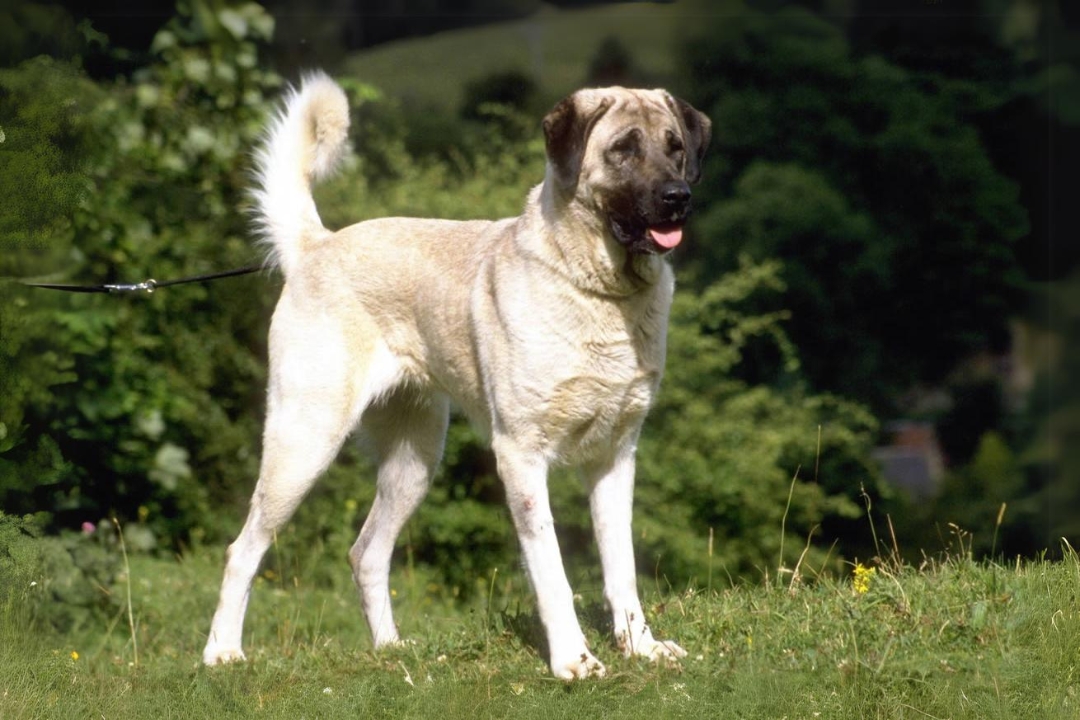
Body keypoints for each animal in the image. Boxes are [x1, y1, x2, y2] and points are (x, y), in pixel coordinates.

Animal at [203, 73, 712, 682]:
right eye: (624, 149)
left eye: (675, 147)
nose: (678, 199)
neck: (599, 290)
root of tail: (318, 245)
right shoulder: (520, 456)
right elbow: (552, 571)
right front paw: (573, 660)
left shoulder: (615, 457)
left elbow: (622, 569)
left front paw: (641, 648)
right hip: (304, 443)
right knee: (242, 549)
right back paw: (221, 653)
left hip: (414, 461)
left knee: (366, 552)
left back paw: (392, 650)